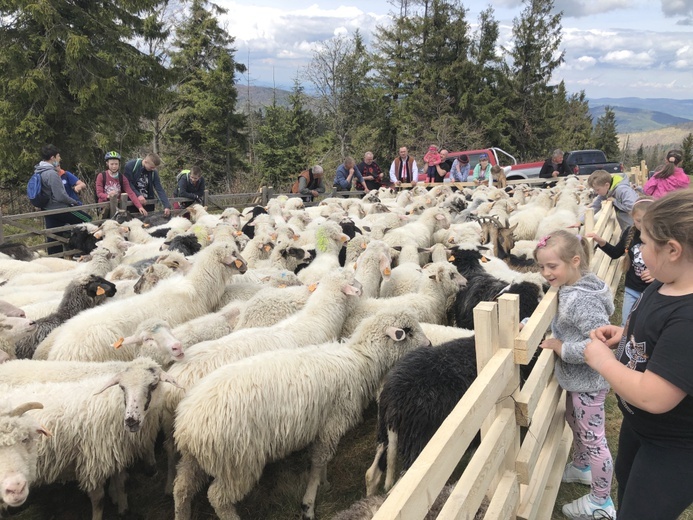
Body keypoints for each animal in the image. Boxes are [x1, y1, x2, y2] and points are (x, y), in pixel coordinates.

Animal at [0, 358, 178, 520]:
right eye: (122, 387)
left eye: (153, 385)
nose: (131, 420)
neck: (114, 403)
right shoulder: (94, 461)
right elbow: (99, 499)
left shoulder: (115, 452)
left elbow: (120, 482)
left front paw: (122, 507)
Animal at [172, 308, 432, 520]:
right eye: (407, 331)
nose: (429, 344)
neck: (360, 360)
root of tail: (186, 426)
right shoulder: (332, 424)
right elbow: (318, 461)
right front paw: (310, 501)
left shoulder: (324, 428)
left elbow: (324, 459)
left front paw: (325, 483)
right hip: (237, 462)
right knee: (218, 497)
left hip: (195, 459)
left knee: (181, 489)